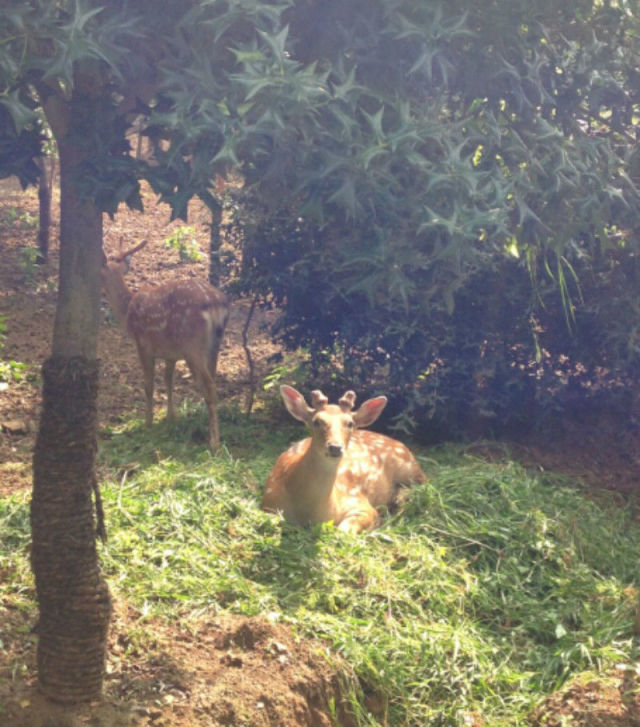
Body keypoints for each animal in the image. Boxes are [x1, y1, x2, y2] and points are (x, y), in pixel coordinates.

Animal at [100, 237, 230, 450]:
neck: (127, 312)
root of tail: (215, 304)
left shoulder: (143, 344)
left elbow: (149, 384)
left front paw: (148, 422)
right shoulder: (171, 353)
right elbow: (168, 379)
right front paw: (171, 416)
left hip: (192, 345)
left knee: (210, 386)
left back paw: (214, 442)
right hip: (213, 345)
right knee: (212, 381)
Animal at [262, 386, 428, 536]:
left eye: (350, 423)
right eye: (316, 421)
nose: (335, 447)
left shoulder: (360, 503)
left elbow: (343, 530)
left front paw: (377, 523)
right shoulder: (268, 505)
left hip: (408, 467)